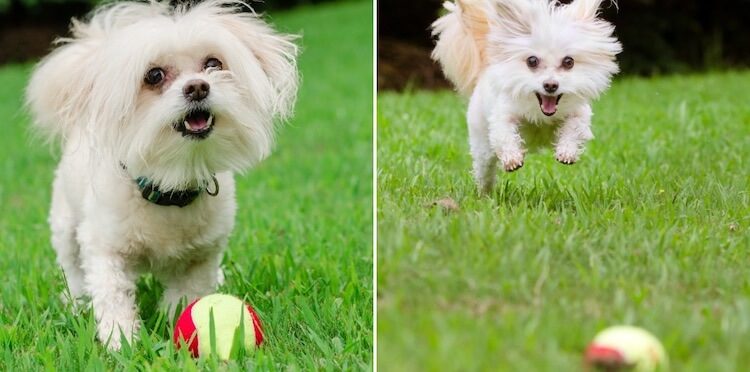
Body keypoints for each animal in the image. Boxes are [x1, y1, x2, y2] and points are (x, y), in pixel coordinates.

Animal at [27, 0, 296, 348]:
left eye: (213, 63)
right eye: (153, 75)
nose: (198, 87)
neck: (171, 180)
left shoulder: (201, 255)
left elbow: (186, 295)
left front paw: (172, 322)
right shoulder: (105, 247)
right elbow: (112, 294)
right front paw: (121, 341)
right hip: (65, 224)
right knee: (73, 267)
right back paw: (76, 301)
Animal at [432, 0, 624, 192]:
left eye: (568, 62)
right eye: (532, 61)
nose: (550, 85)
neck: (542, 114)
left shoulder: (579, 112)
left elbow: (574, 128)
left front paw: (566, 151)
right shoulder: (503, 114)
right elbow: (504, 133)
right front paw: (512, 159)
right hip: (482, 145)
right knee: (484, 169)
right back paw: (484, 193)